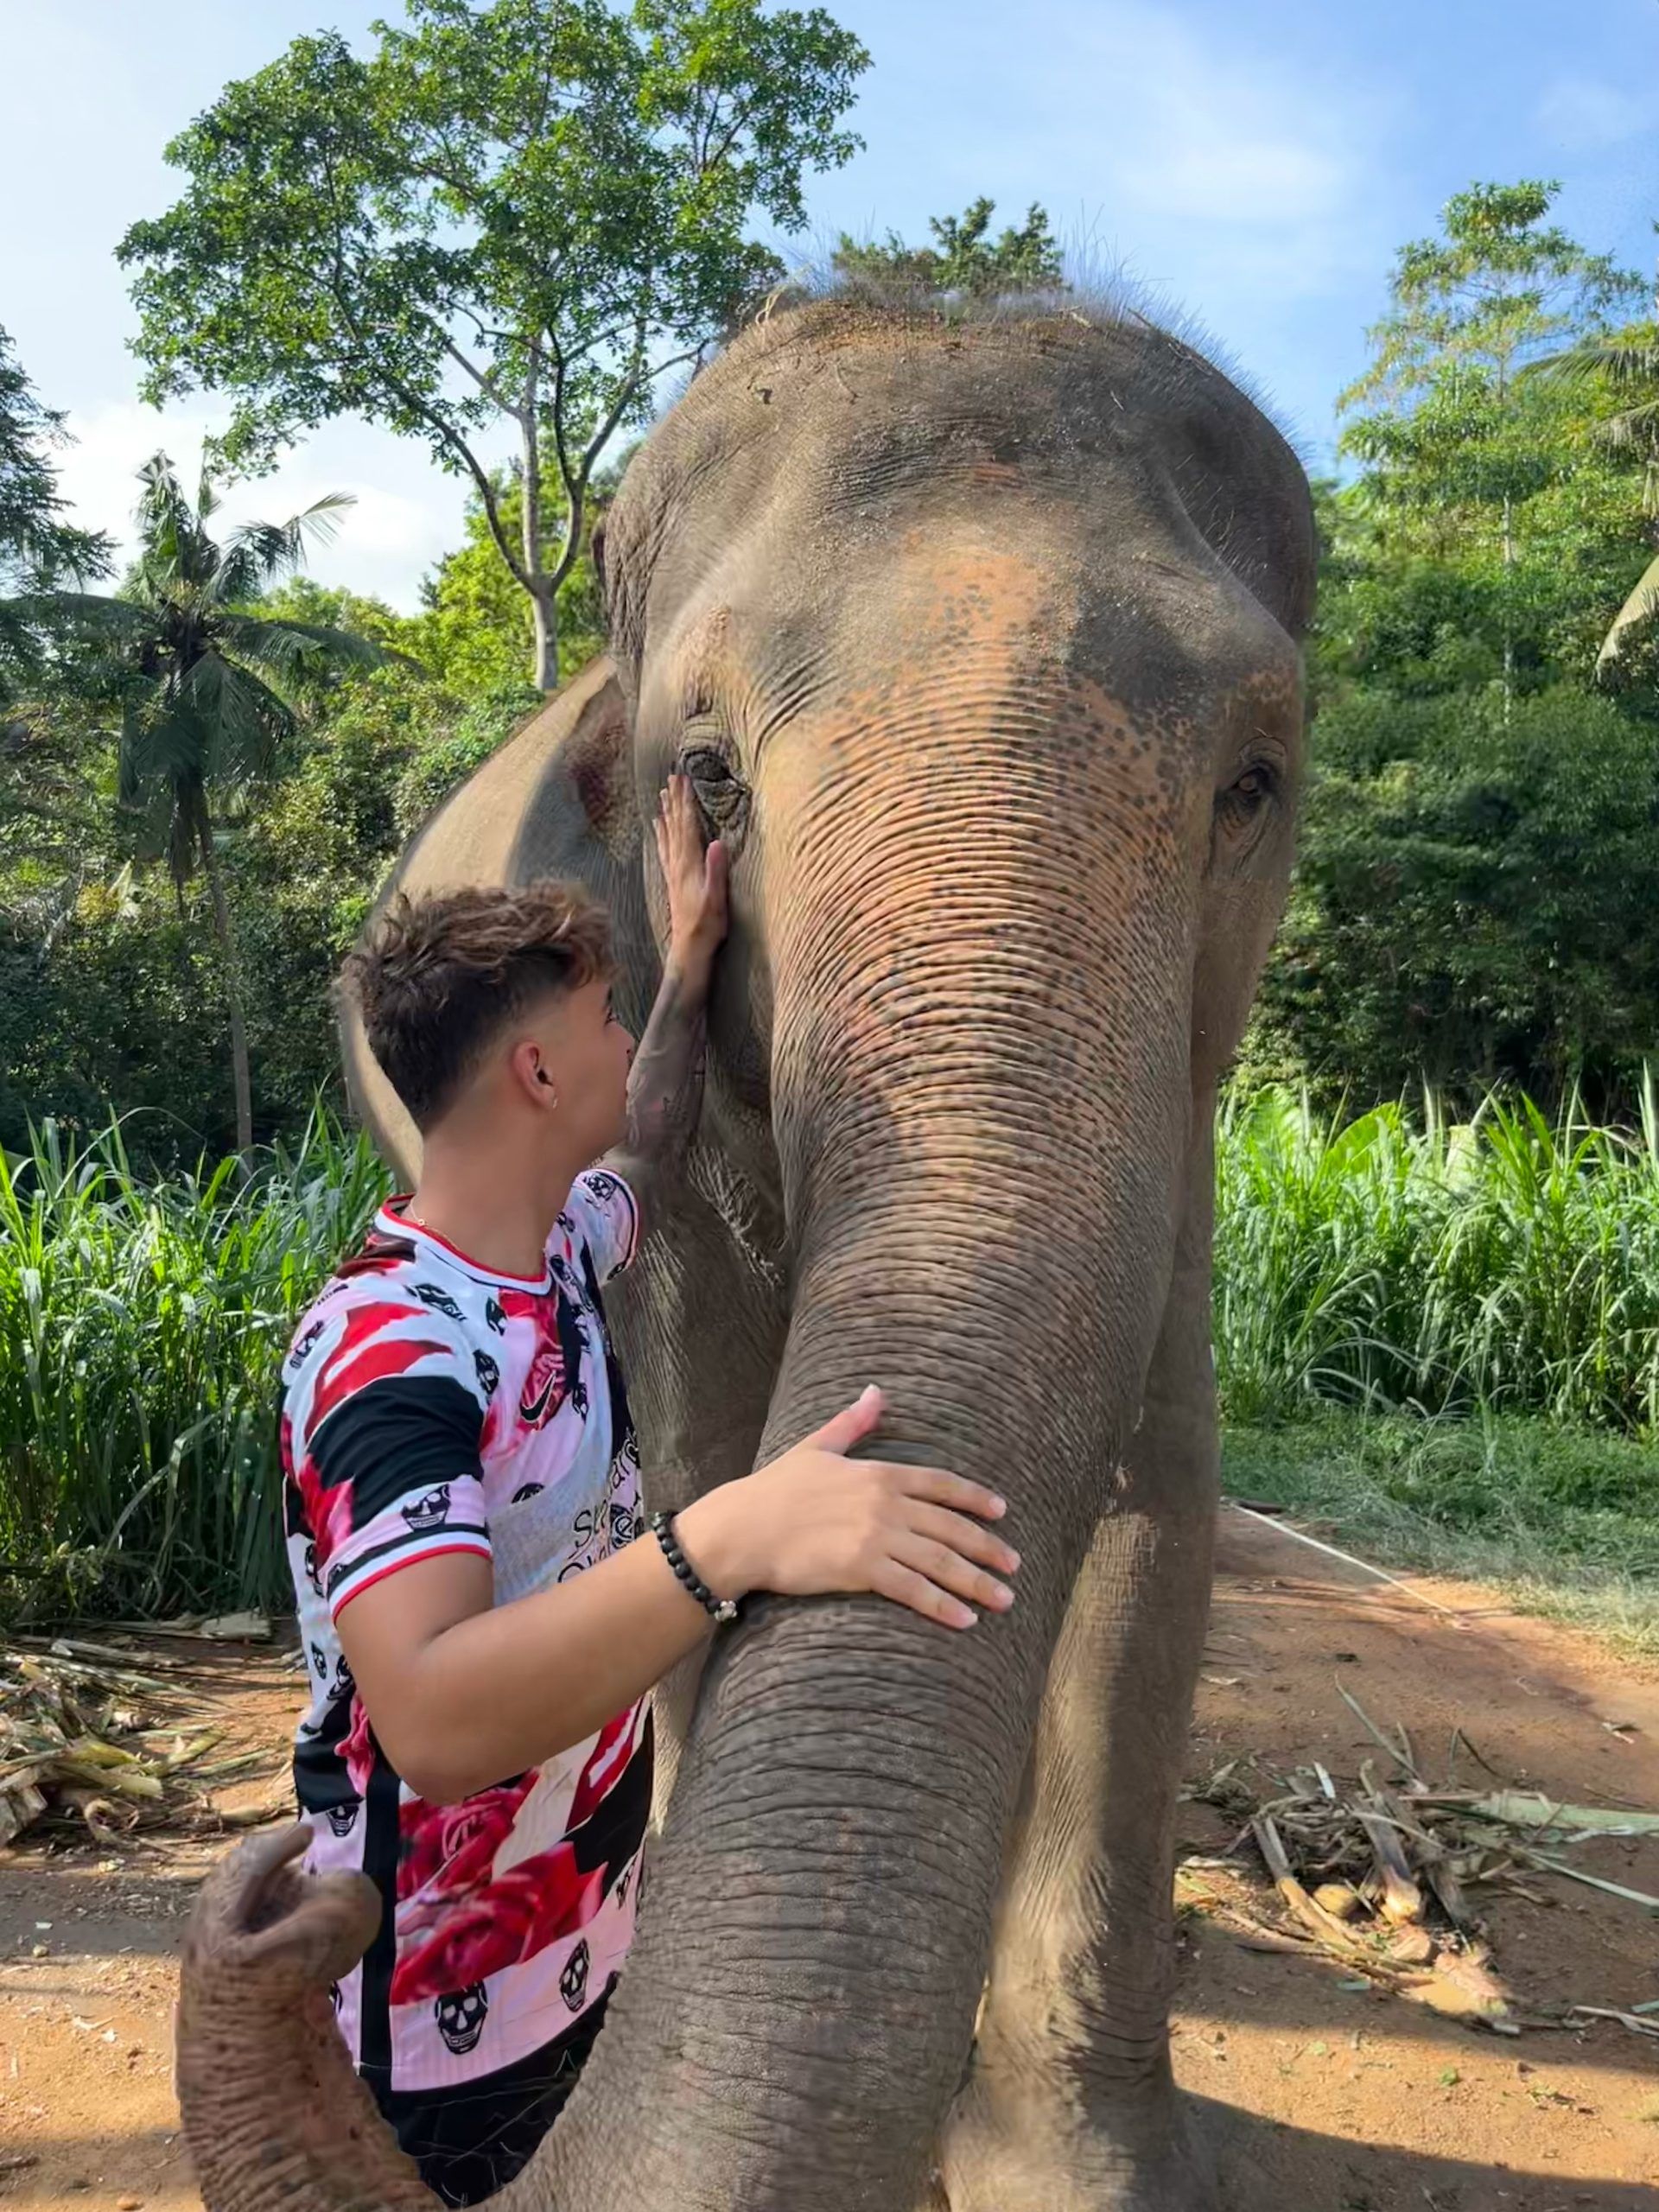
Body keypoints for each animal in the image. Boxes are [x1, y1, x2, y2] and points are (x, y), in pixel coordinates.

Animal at [175, 293, 1315, 2212]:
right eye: (706, 778)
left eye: (1253, 781)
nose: (281, 1904)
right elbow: (704, 1467)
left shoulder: (1184, 1122)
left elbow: (1151, 1512)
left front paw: (1072, 2175)